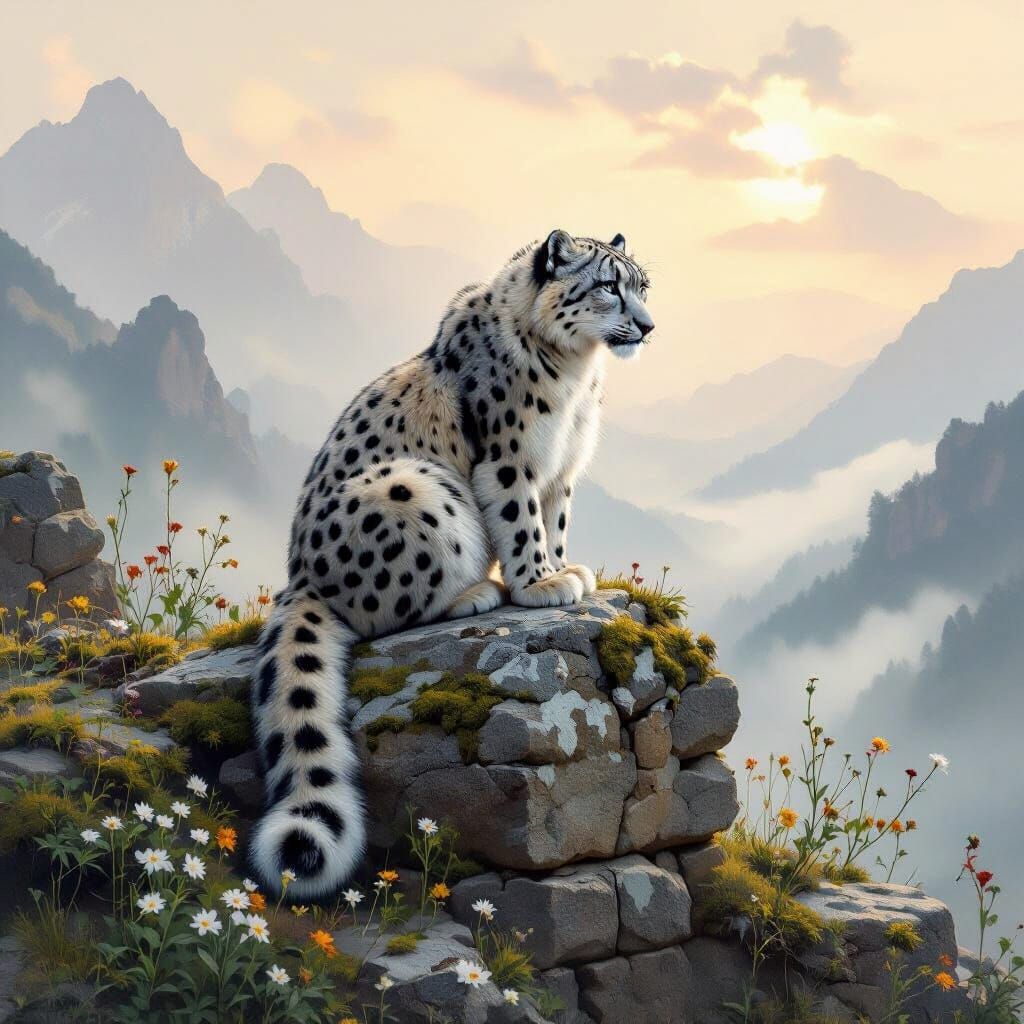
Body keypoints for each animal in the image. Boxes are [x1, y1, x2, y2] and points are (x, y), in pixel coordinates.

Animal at [250, 229, 654, 900]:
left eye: (643, 285)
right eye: (607, 284)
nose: (647, 326)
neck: (577, 378)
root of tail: (299, 578)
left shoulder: (563, 469)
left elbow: (555, 520)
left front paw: (567, 569)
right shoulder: (512, 458)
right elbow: (523, 521)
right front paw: (540, 583)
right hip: (414, 489)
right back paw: (472, 594)